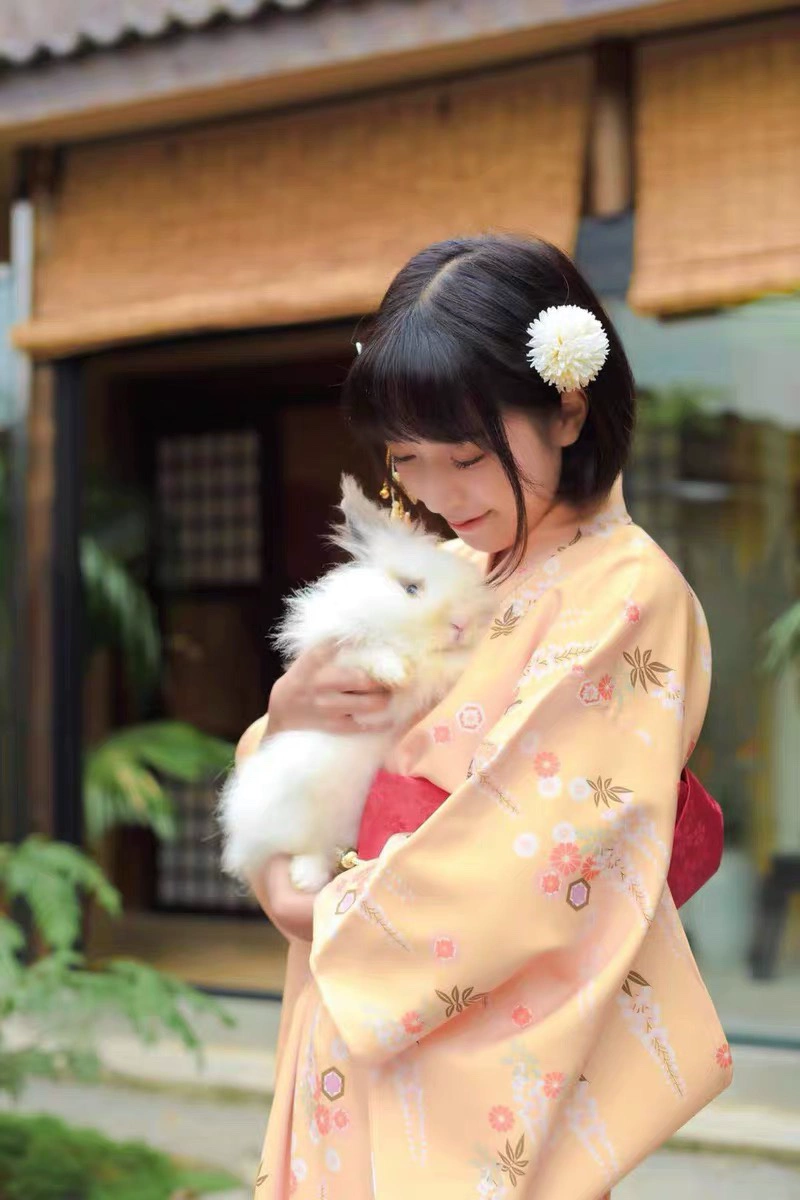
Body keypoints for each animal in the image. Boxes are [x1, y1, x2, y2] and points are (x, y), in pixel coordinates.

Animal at [218, 474, 492, 894]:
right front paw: (394, 671)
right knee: (305, 848)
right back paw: (304, 879)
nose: (461, 623)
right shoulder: (341, 649)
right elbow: (369, 652)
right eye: (411, 589)